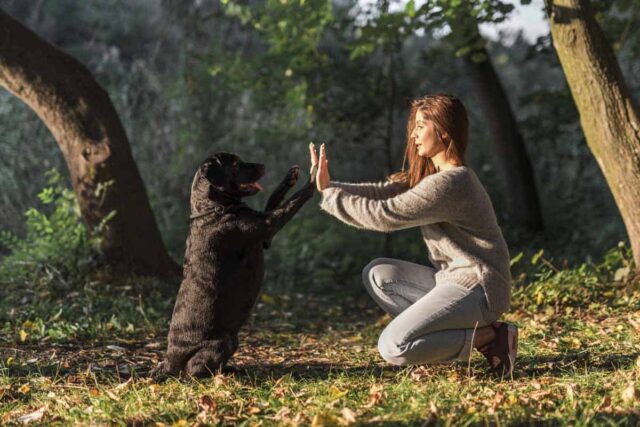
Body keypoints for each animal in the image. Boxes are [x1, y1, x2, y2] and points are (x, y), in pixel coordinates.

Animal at [153, 153, 318, 378]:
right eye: (236, 164)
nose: (263, 165)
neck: (213, 209)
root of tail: (168, 362)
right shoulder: (269, 225)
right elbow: (291, 202)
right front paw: (313, 179)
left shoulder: (266, 237)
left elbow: (274, 198)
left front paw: (290, 177)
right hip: (222, 342)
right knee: (193, 371)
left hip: (233, 340)